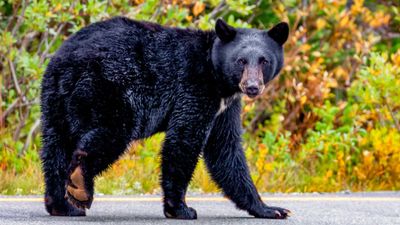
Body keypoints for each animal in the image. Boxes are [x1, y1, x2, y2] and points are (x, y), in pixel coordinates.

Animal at [40, 17, 290, 220]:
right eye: (241, 61)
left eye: (264, 60)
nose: (252, 86)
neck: (216, 75)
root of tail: (67, 59)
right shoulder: (194, 88)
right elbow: (184, 140)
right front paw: (180, 209)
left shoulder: (224, 107)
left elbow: (225, 150)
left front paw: (269, 208)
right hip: (107, 88)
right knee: (111, 133)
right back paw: (80, 184)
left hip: (54, 100)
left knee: (55, 149)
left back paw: (63, 205)